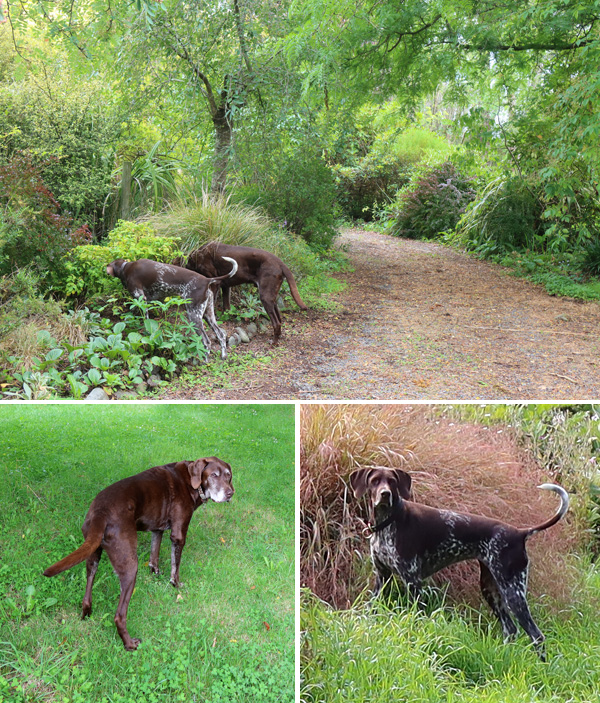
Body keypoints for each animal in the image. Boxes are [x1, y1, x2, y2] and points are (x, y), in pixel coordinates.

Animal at [42, 460, 233, 652]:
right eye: (214, 475)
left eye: (229, 475)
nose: (231, 493)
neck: (190, 480)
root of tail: (100, 513)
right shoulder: (178, 535)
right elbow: (175, 566)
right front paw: (176, 585)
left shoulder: (157, 529)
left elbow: (154, 556)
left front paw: (156, 573)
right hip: (129, 567)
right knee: (119, 615)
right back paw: (129, 644)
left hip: (93, 555)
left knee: (87, 592)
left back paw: (86, 614)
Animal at [106, 258, 238, 360]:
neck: (126, 267)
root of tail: (206, 280)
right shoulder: (145, 301)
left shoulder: (141, 299)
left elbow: (145, 320)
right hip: (208, 315)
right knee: (221, 335)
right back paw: (223, 356)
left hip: (194, 316)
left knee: (206, 342)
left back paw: (204, 360)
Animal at [178, 243, 308, 340]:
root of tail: (280, 263)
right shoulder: (225, 286)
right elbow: (226, 306)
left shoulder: (214, 283)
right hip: (271, 297)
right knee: (279, 319)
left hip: (265, 297)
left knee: (277, 322)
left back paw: (274, 343)